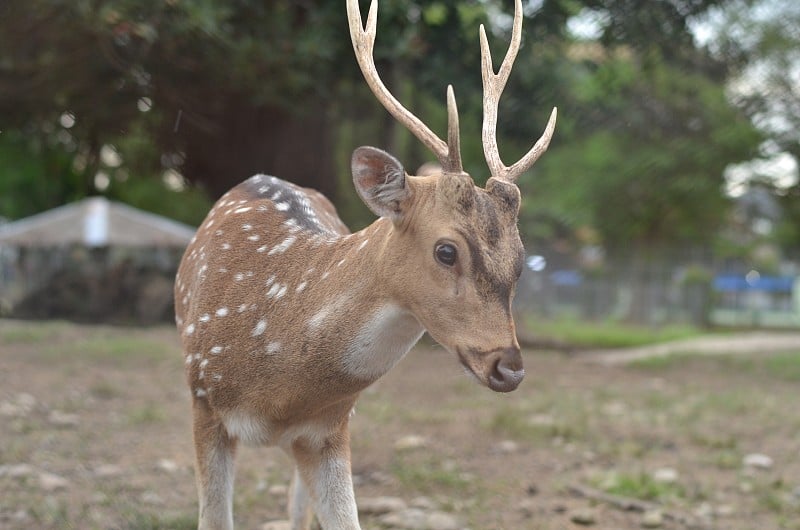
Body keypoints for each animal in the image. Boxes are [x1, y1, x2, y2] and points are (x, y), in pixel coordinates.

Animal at [173, 1, 556, 528]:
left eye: (520, 260)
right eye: (446, 250)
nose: (510, 368)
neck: (277, 389)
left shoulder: (331, 426)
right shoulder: (203, 400)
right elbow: (214, 518)